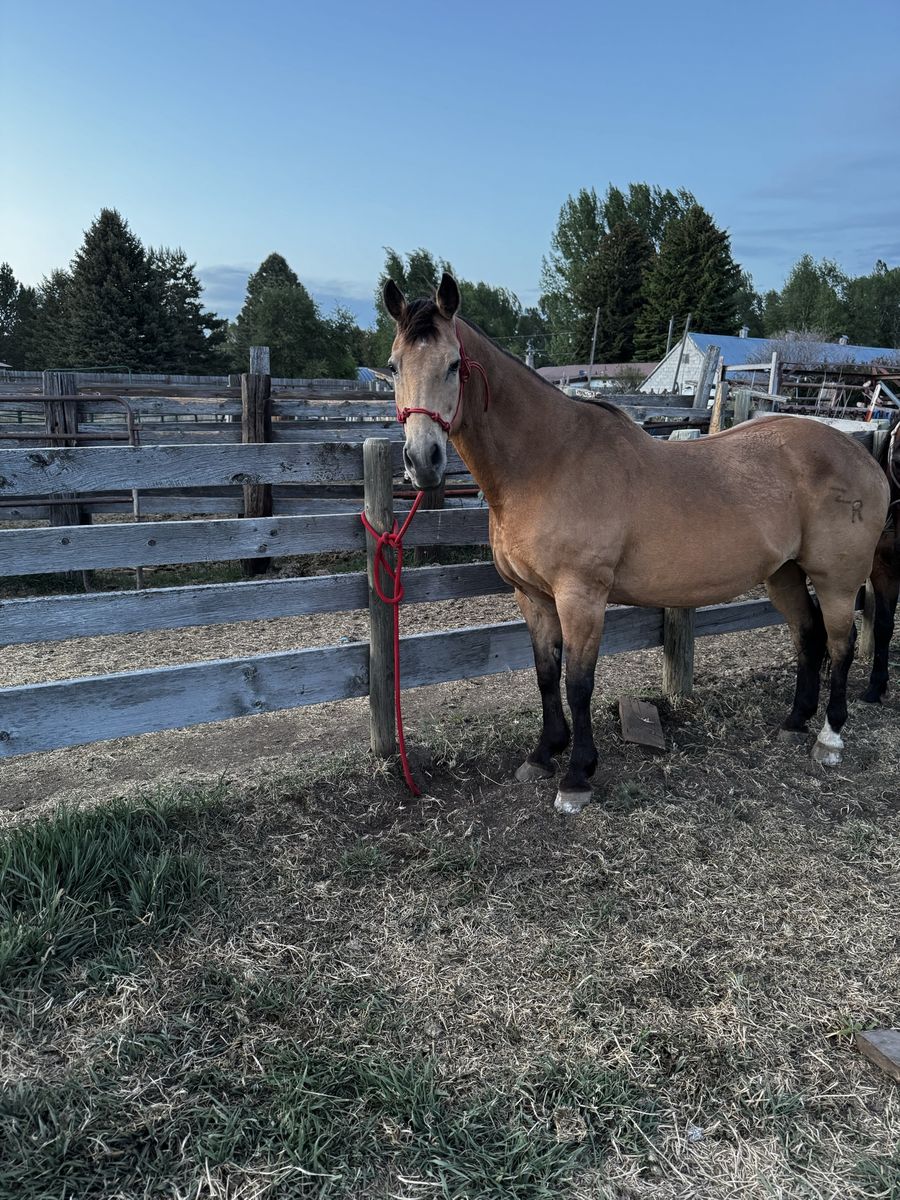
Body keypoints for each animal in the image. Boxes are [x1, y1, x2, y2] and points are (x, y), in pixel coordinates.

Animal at [385, 273, 889, 813]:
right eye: (394, 366)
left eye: (453, 364)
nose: (422, 461)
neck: (548, 462)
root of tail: (866, 458)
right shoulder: (533, 597)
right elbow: (545, 674)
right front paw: (544, 755)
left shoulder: (581, 597)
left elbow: (578, 683)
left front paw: (577, 777)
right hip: (784, 574)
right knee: (808, 635)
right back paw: (795, 723)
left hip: (837, 580)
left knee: (840, 643)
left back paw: (830, 738)